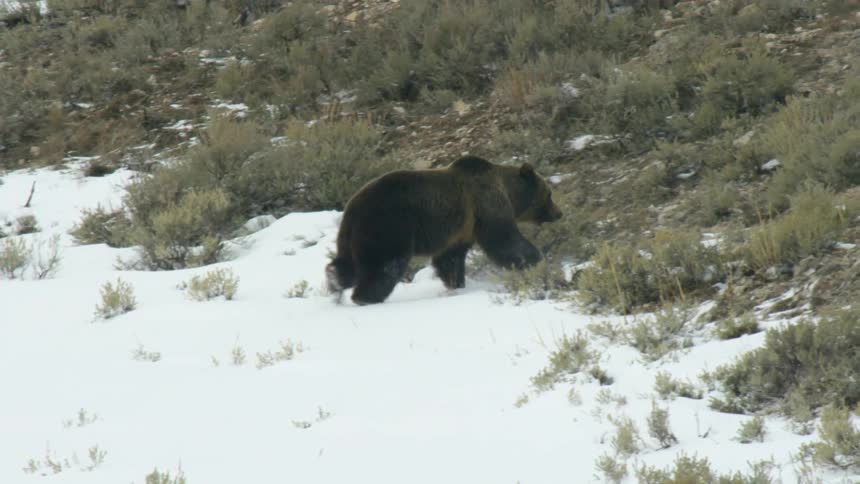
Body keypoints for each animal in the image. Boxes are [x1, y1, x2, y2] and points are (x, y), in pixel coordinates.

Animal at [325, 155, 563, 305]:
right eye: (549, 194)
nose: (559, 213)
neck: (508, 192)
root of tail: (353, 206)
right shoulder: (485, 204)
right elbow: (504, 239)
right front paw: (537, 261)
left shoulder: (461, 229)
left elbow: (450, 258)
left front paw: (456, 284)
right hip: (389, 227)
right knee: (386, 266)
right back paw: (366, 297)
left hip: (352, 235)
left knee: (348, 264)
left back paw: (334, 280)